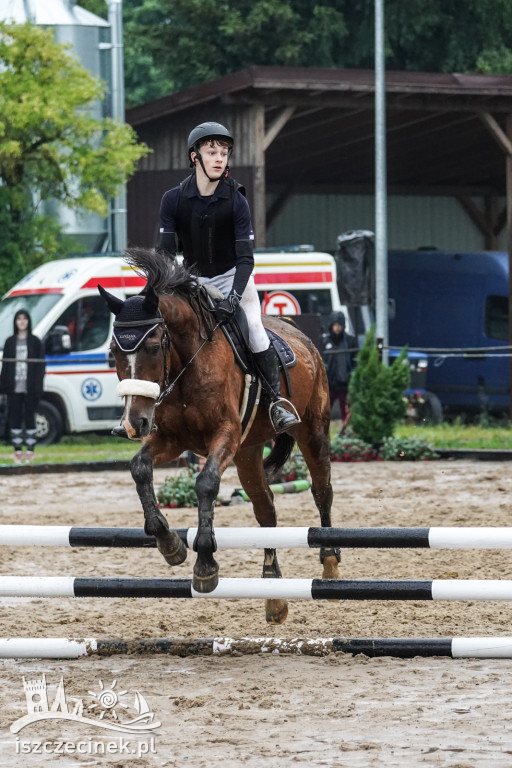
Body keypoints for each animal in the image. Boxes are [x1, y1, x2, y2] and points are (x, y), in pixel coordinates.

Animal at [100, 250, 340, 624]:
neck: (185, 366)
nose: (133, 423)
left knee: (321, 490)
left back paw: (329, 562)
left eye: (153, 346)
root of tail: (302, 337)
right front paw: (169, 543)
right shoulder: (172, 439)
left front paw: (205, 565)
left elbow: (206, 483)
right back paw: (273, 594)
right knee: (266, 509)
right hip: (248, 452)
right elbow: (139, 468)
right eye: (114, 350)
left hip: (312, 430)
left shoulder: (225, 435)